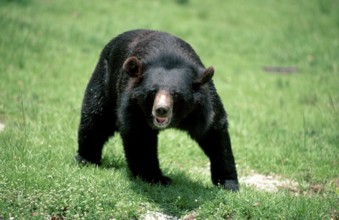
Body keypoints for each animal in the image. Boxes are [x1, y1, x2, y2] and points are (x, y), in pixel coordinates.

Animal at [75, 29, 239, 191]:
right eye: (153, 91)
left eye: (176, 93)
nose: (161, 110)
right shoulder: (133, 105)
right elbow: (140, 137)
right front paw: (156, 178)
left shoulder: (203, 105)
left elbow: (214, 132)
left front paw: (228, 183)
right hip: (105, 80)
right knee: (95, 117)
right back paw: (86, 159)